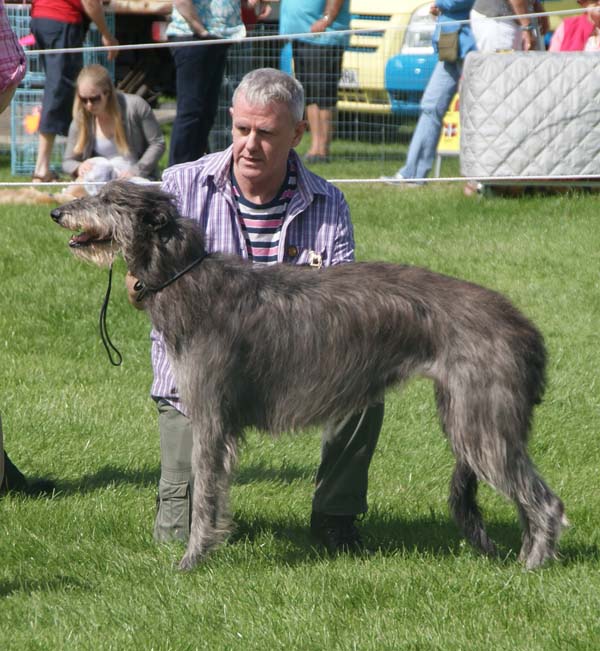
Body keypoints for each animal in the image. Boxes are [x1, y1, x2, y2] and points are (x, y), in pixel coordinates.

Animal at [51, 180, 568, 572]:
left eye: (108, 198)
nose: (57, 212)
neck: (188, 277)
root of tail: (524, 328)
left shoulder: (213, 418)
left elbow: (206, 496)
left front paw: (192, 561)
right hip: (469, 416)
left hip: (480, 422)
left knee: (545, 503)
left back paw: (531, 566)